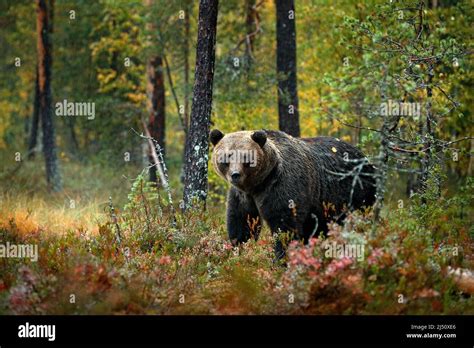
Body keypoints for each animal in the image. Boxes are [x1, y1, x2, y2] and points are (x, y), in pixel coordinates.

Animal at [209, 128, 376, 258]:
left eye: (246, 157)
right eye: (226, 157)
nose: (235, 175)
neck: (258, 183)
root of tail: (364, 157)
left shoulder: (282, 186)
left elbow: (284, 224)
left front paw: (281, 257)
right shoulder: (242, 195)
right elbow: (241, 221)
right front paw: (238, 249)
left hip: (355, 190)